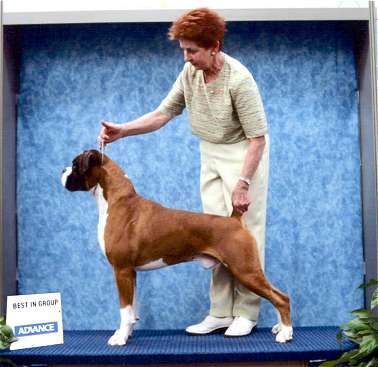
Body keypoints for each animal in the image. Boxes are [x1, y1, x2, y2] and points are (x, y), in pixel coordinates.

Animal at [61, 151, 292, 346]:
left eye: (75, 164)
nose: (62, 170)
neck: (118, 201)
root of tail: (234, 220)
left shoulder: (121, 270)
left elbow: (124, 310)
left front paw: (119, 339)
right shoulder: (130, 273)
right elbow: (132, 308)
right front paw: (126, 334)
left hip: (246, 270)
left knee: (281, 298)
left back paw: (286, 334)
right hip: (245, 270)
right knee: (279, 296)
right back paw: (280, 328)